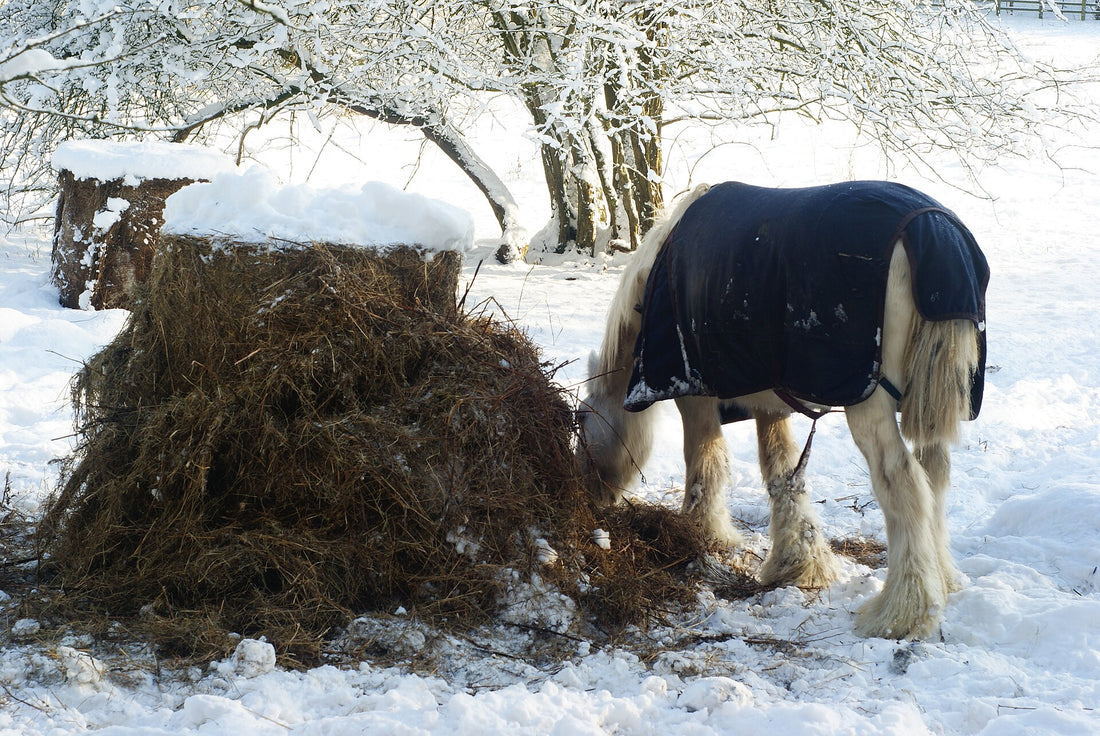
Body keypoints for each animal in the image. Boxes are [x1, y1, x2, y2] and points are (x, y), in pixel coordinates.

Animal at [578, 181, 988, 640]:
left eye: (579, 420)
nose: (590, 496)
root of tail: (933, 232)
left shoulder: (694, 393)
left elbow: (705, 464)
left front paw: (703, 535)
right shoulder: (771, 401)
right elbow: (783, 474)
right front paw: (799, 562)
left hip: (871, 405)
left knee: (905, 483)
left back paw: (902, 611)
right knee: (935, 476)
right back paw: (942, 581)